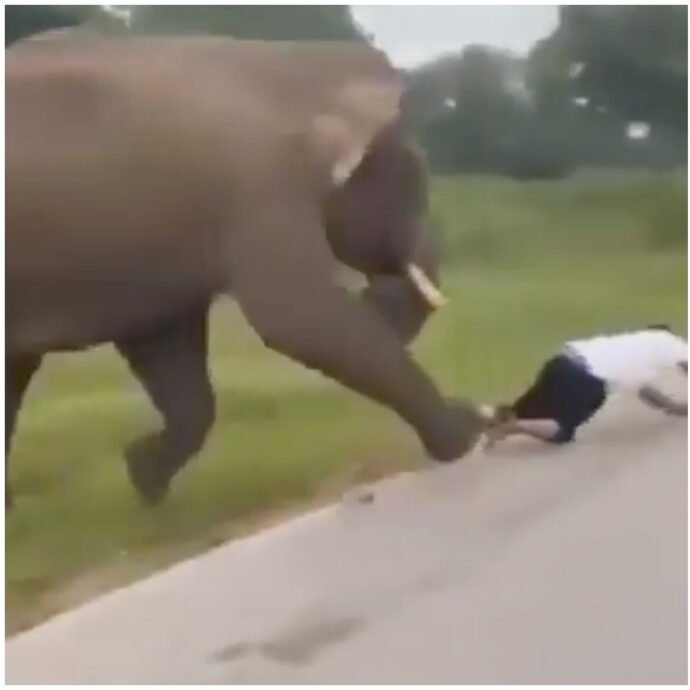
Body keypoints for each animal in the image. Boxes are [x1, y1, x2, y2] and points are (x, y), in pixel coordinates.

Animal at [6, 36, 486, 508]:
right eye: (412, 185)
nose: (376, 298)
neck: (297, 62)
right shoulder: (259, 186)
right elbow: (297, 318)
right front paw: (468, 430)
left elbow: (167, 350)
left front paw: (143, 475)